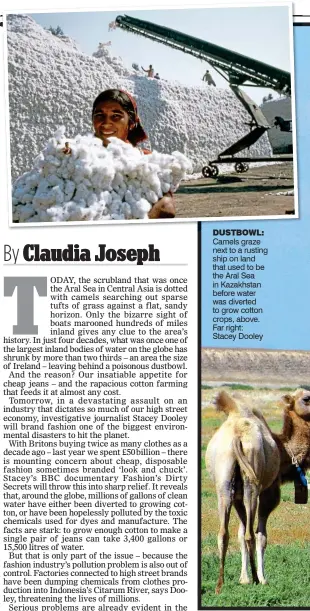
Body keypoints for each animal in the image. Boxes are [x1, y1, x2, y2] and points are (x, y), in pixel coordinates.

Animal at [206, 390, 310, 596]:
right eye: (306, 398)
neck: (284, 450)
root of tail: (236, 435)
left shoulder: (237, 496)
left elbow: (239, 532)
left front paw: (243, 579)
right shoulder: (270, 492)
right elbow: (261, 535)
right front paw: (261, 579)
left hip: (223, 482)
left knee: (223, 532)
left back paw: (219, 585)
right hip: (252, 482)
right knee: (251, 534)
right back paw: (255, 578)